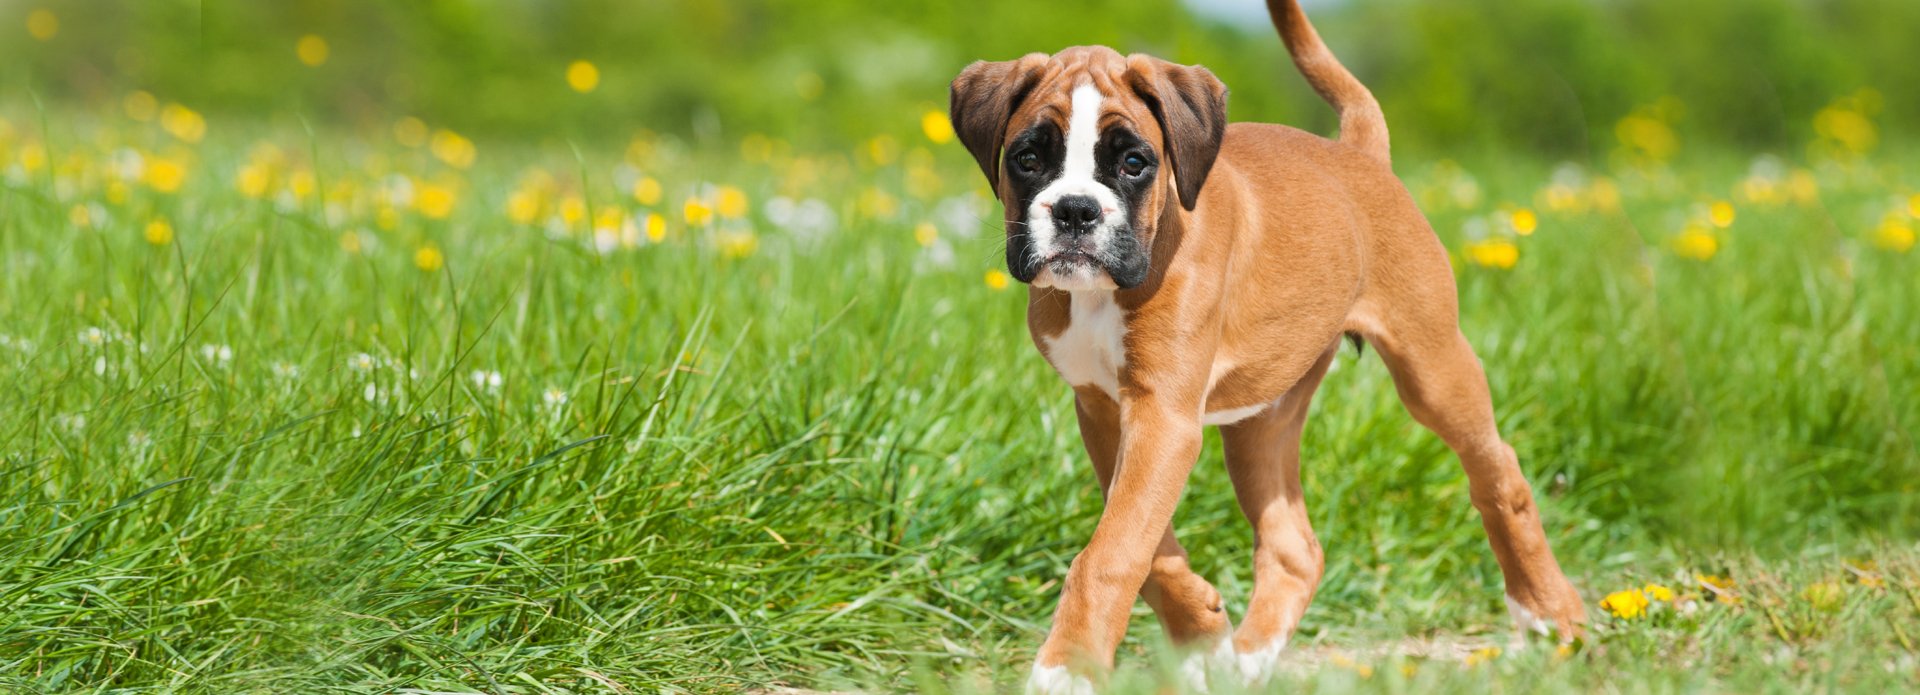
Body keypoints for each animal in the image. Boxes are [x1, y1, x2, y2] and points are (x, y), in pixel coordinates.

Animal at [948, 0, 1589, 691]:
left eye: (1133, 163)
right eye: (1028, 157)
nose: (1073, 210)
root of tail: (1360, 153)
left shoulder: (1163, 418)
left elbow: (1114, 552)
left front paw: (1069, 665)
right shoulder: (1108, 412)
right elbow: (1146, 545)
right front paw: (1203, 636)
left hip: (1434, 368)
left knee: (1501, 476)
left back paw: (1551, 614)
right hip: (1263, 423)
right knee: (1294, 548)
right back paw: (1249, 657)